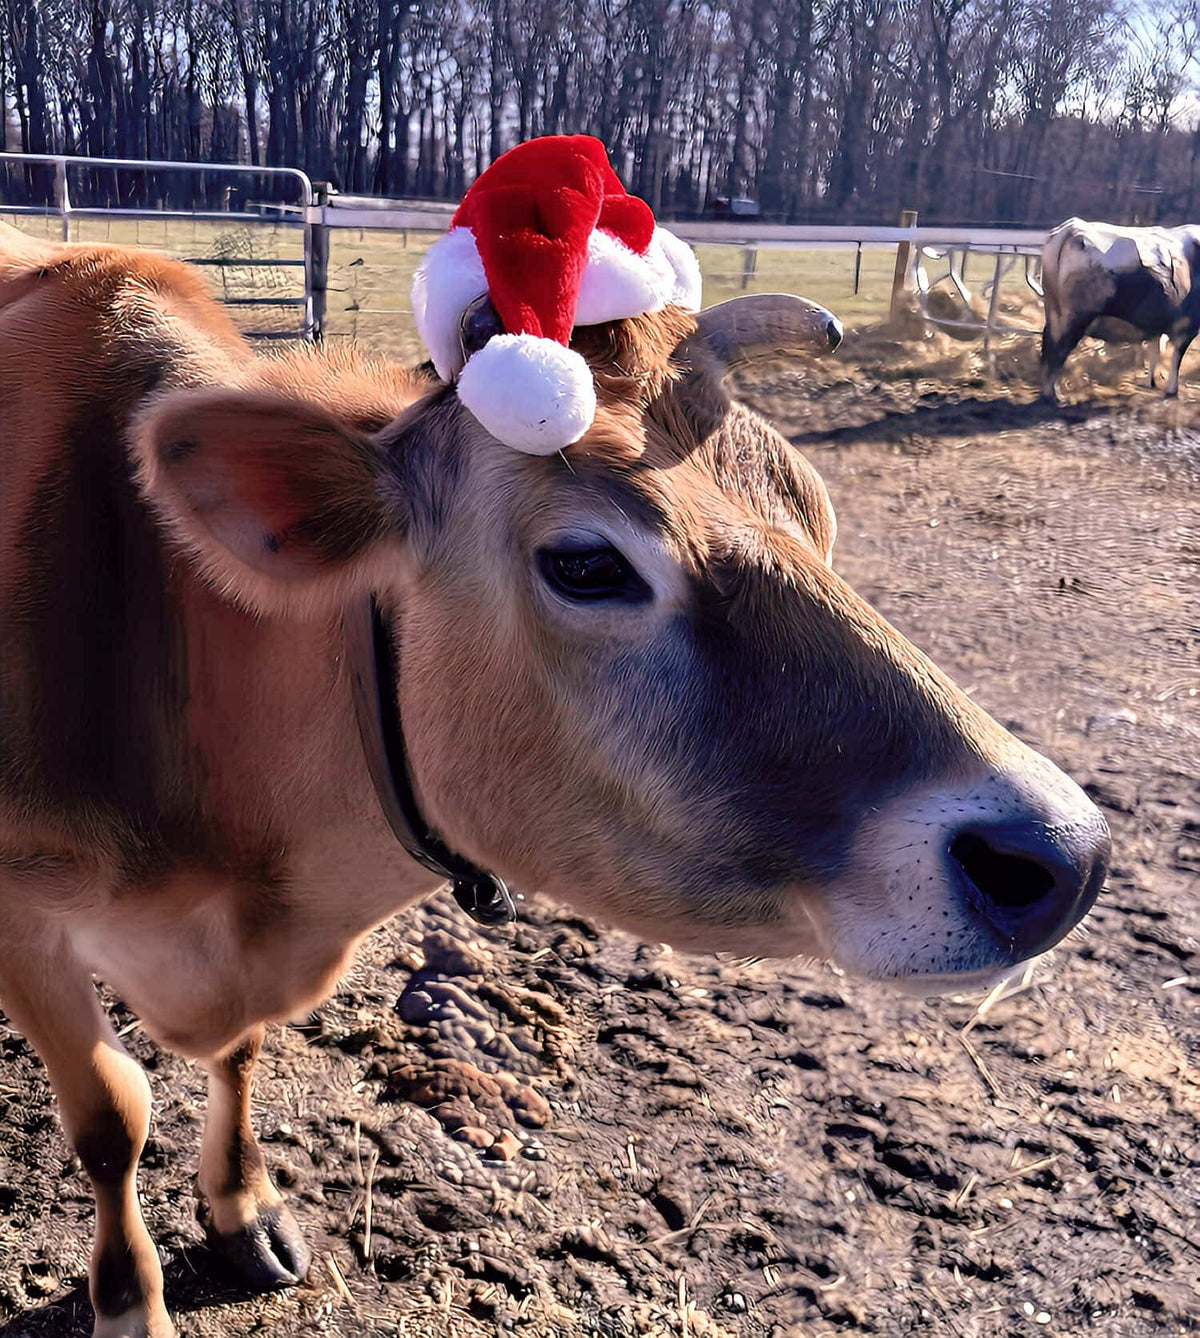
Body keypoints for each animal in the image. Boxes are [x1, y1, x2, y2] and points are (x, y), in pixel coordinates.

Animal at [0, 221, 1110, 1338]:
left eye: (815, 508)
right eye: (586, 563)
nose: (1069, 854)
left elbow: (241, 1053)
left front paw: (242, 1206)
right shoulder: (26, 923)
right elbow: (111, 1115)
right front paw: (130, 1301)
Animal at [1040, 215, 1200, 400]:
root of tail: (1072, 228)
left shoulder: (1156, 324)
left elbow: (1155, 351)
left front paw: (1151, 383)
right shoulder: (1187, 326)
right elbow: (1176, 359)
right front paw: (1171, 391)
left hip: (1054, 314)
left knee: (1048, 350)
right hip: (1074, 320)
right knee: (1057, 352)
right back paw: (1053, 395)